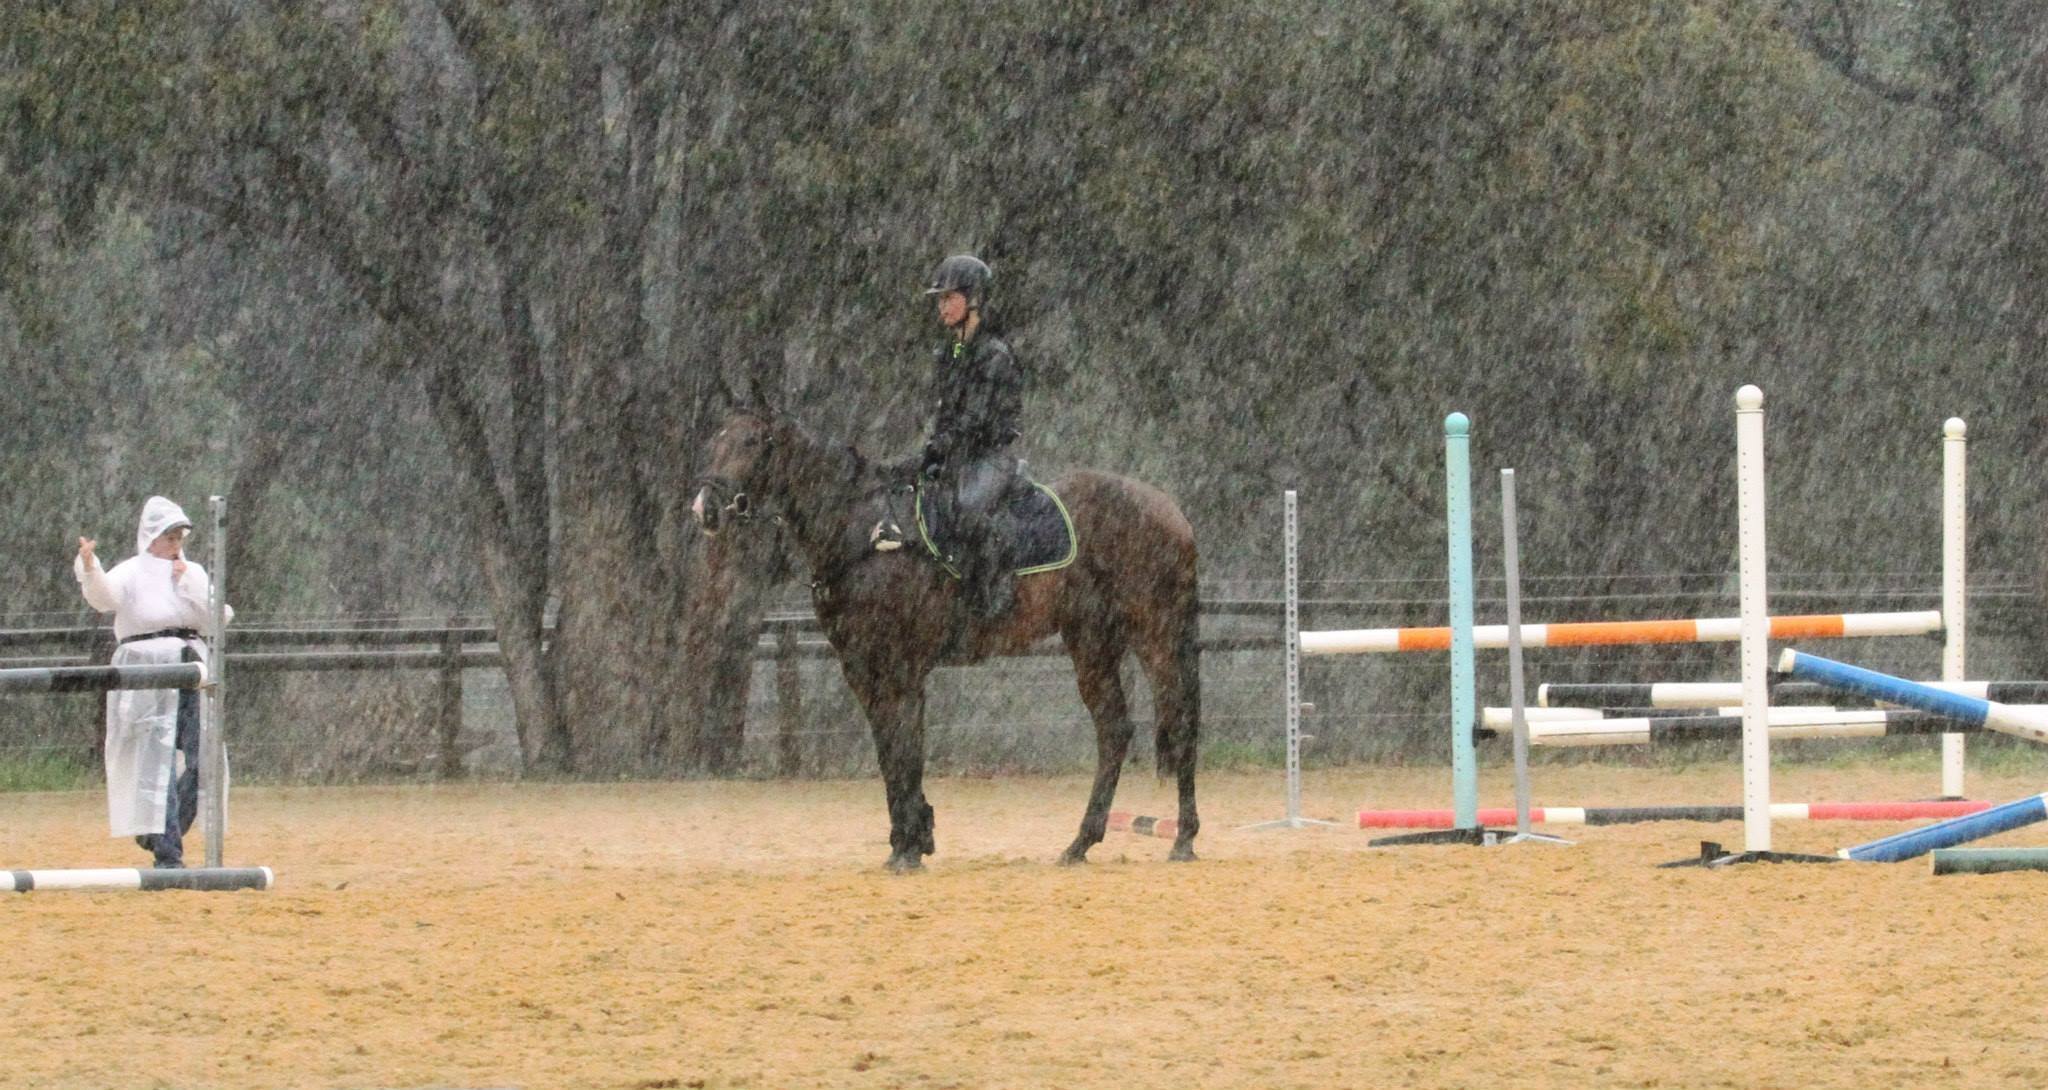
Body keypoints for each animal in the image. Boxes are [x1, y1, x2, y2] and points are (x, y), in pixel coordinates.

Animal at [688, 403, 1196, 872]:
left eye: (753, 443)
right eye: (714, 442)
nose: (704, 508)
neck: (869, 532)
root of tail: (1170, 510)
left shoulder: (899, 667)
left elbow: (904, 749)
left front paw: (910, 845)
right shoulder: (861, 667)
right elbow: (890, 750)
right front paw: (909, 839)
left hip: (1155, 634)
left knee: (1179, 723)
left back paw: (1182, 839)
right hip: (1092, 642)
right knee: (1113, 729)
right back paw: (1081, 843)